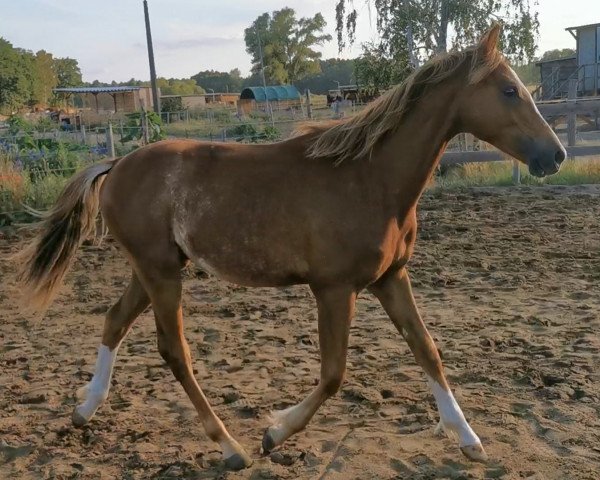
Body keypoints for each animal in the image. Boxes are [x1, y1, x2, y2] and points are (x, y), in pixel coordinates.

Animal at [16, 25, 564, 468]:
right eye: (510, 90)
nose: (555, 155)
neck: (370, 178)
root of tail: (116, 166)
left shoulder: (391, 279)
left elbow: (428, 351)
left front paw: (469, 440)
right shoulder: (335, 289)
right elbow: (333, 374)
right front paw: (273, 433)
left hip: (153, 268)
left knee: (114, 322)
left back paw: (84, 410)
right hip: (161, 274)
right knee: (175, 351)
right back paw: (230, 447)